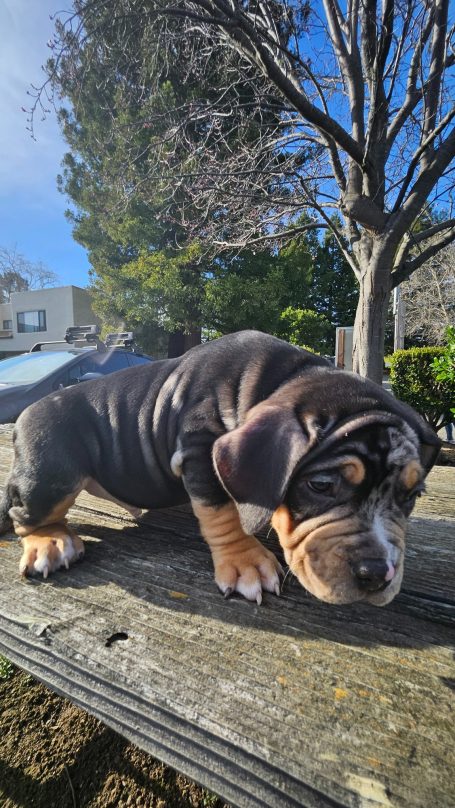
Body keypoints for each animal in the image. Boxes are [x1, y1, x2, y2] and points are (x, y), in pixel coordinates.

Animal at [0, 332, 442, 604]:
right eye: (320, 485)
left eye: (411, 496)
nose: (379, 575)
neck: (281, 380)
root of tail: (22, 418)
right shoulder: (199, 448)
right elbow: (223, 510)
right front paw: (246, 562)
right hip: (51, 474)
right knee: (26, 515)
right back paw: (50, 541)